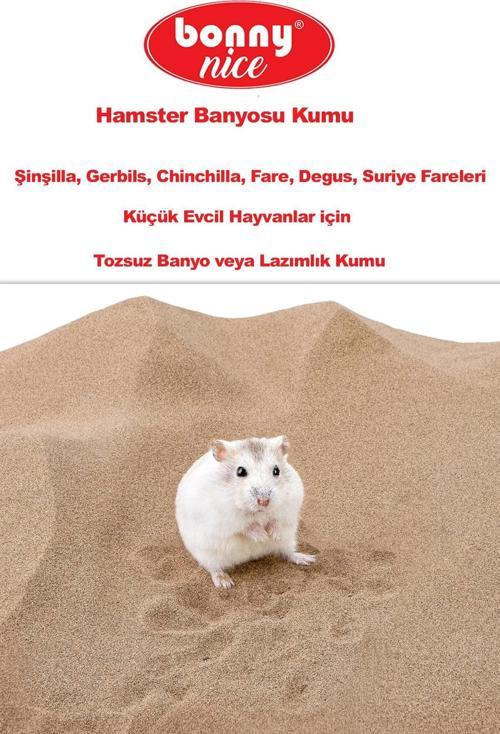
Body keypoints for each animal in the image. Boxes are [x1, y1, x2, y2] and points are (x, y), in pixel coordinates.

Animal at [175, 435, 315, 588]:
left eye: (276, 470)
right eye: (240, 471)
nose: (264, 501)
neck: (259, 512)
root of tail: (250, 557)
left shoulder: (288, 507)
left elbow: (275, 520)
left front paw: (273, 535)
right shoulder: (225, 517)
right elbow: (245, 526)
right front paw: (262, 536)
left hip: (288, 540)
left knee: (288, 553)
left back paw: (307, 559)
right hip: (207, 553)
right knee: (214, 568)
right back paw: (225, 582)